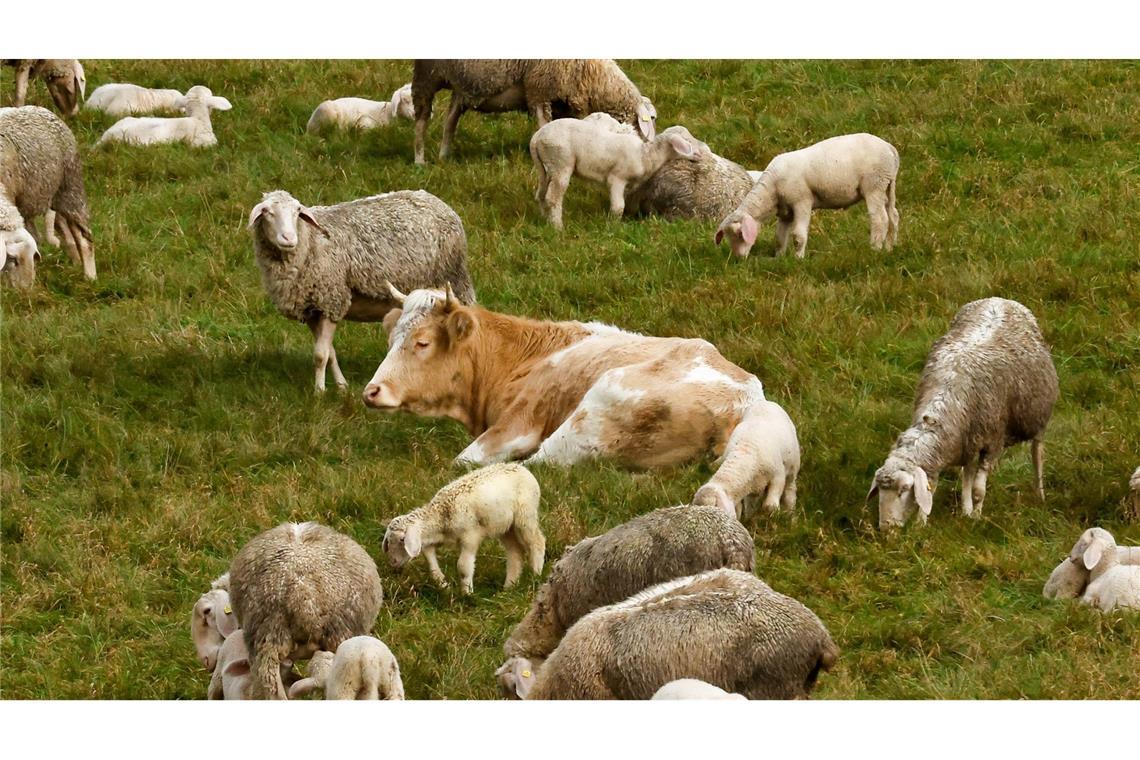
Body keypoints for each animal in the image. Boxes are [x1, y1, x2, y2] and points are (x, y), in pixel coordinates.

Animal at [362, 284, 776, 512]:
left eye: (422, 343)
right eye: (391, 338)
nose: (371, 392)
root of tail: (746, 398)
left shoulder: (518, 424)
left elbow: (464, 461)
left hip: (592, 410)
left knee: (538, 465)